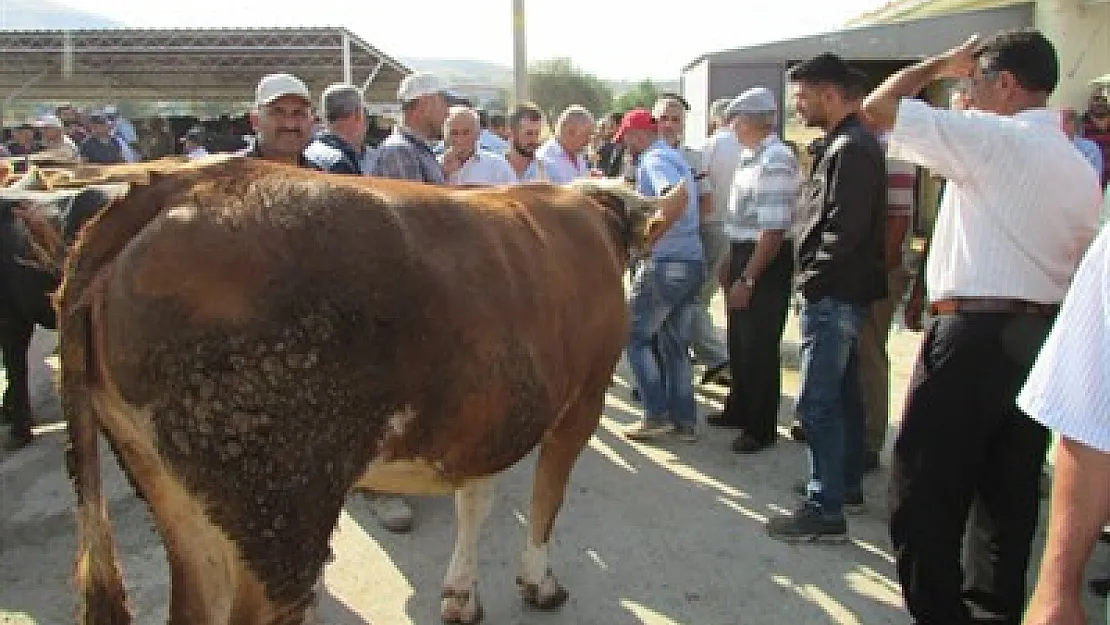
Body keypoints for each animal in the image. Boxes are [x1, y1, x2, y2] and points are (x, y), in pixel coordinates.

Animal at [54, 156, 683, 625]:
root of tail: (181, 184)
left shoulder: (486, 415)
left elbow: (474, 498)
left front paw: (461, 595)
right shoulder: (585, 399)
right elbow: (546, 499)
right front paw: (539, 584)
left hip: (174, 494)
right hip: (278, 505)